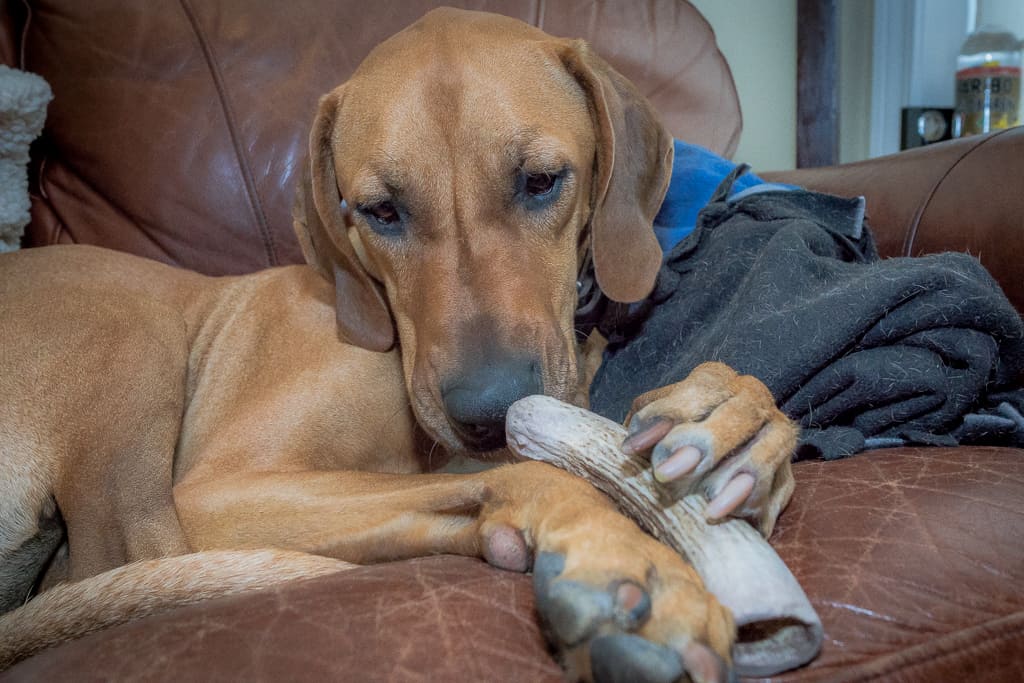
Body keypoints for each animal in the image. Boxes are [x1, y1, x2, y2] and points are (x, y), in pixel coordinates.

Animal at [0, 7, 794, 679]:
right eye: (381, 211)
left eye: (541, 181)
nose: (488, 412)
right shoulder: (221, 493)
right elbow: (528, 472)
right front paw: (626, 561)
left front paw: (733, 419)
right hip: (125, 330)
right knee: (123, 559)